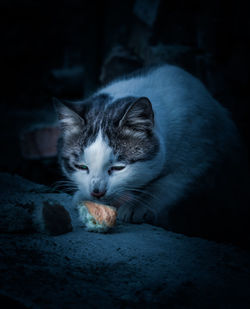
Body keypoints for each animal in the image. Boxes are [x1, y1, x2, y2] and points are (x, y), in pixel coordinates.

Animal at [55, 65, 250, 242]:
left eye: (118, 168)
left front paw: (137, 206)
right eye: (81, 166)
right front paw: (83, 196)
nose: (96, 192)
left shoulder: (200, 161)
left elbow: (166, 184)